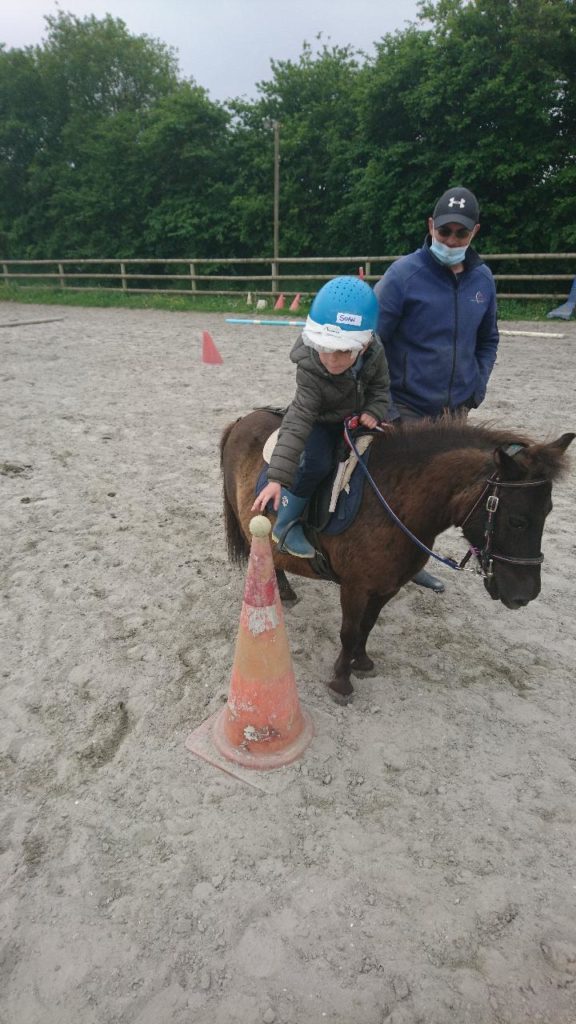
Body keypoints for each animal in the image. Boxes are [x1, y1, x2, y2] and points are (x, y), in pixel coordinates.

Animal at [220, 409, 573, 703]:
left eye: (547, 512)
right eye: (517, 520)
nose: (525, 594)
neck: (393, 500)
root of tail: (241, 420)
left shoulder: (390, 585)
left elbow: (368, 625)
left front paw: (361, 662)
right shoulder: (355, 587)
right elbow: (349, 632)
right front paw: (341, 681)